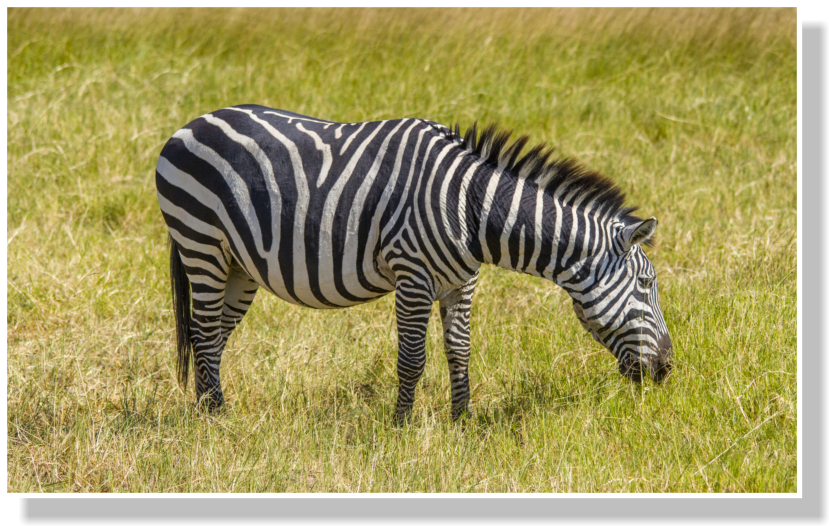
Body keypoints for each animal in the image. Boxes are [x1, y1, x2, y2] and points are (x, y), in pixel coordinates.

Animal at [155, 104, 673, 422]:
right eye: (647, 284)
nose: (667, 369)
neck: (472, 210)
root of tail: (191, 123)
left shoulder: (462, 281)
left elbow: (459, 351)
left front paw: (462, 422)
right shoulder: (413, 276)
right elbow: (412, 357)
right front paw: (400, 427)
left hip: (239, 266)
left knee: (210, 338)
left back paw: (209, 410)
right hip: (201, 243)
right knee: (204, 332)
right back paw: (215, 418)